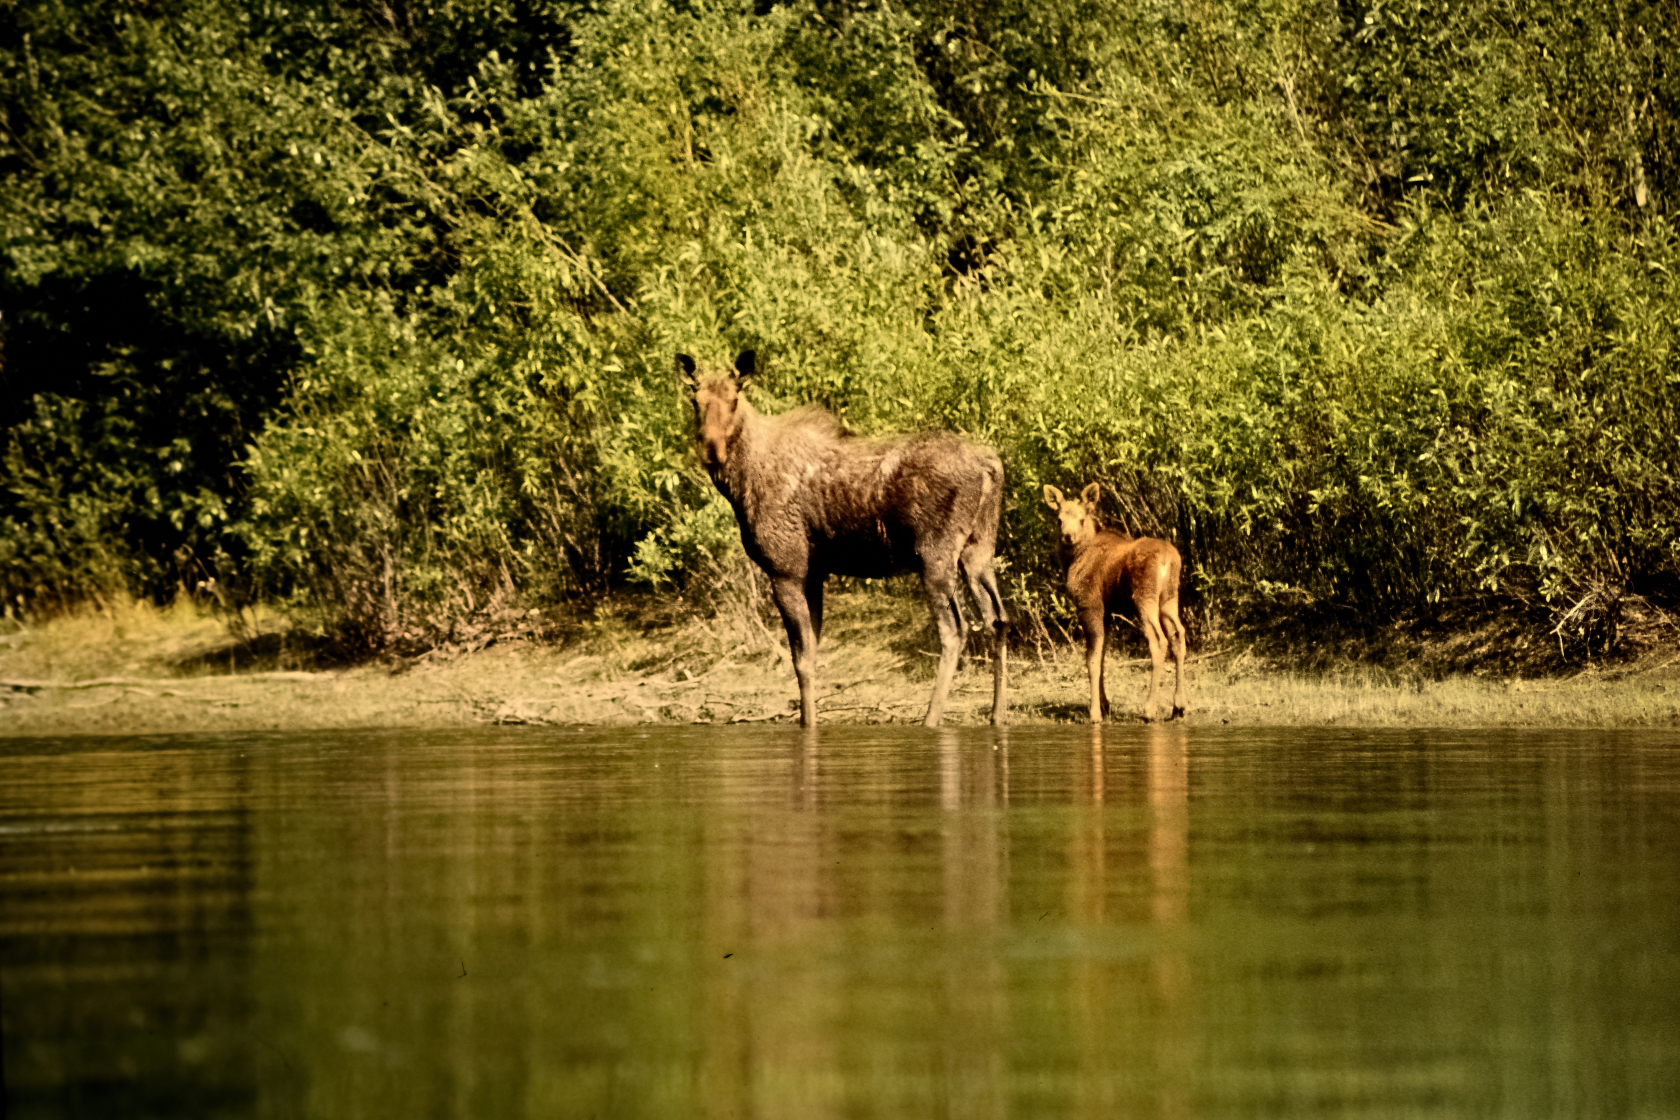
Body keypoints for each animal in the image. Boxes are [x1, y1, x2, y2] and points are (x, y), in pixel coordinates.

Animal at [675, 352, 1001, 735]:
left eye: (734, 398)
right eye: (694, 400)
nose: (711, 449)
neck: (739, 483)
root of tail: (990, 465)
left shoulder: (785, 570)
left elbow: (801, 660)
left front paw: (808, 726)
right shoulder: (814, 573)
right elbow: (812, 654)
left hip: (935, 555)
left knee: (955, 630)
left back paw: (930, 719)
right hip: (979, 552)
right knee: (998, 618)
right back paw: (997, 715)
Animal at [1041, 483, 1189, 728]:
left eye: (1082, 519)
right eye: (1058, 519)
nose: (1068, 537)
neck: (1072, 561)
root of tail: (1168, 560)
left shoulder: (1090, 605)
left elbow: (1091, 660)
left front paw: (1095, 714)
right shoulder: (1107, 612)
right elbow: (1101, 657)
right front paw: (1105, 704)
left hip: (1144, 598)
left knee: (1158, 640)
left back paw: (1149, 710)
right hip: (1169, 598)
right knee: (1178, 634)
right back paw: (1179, 706)